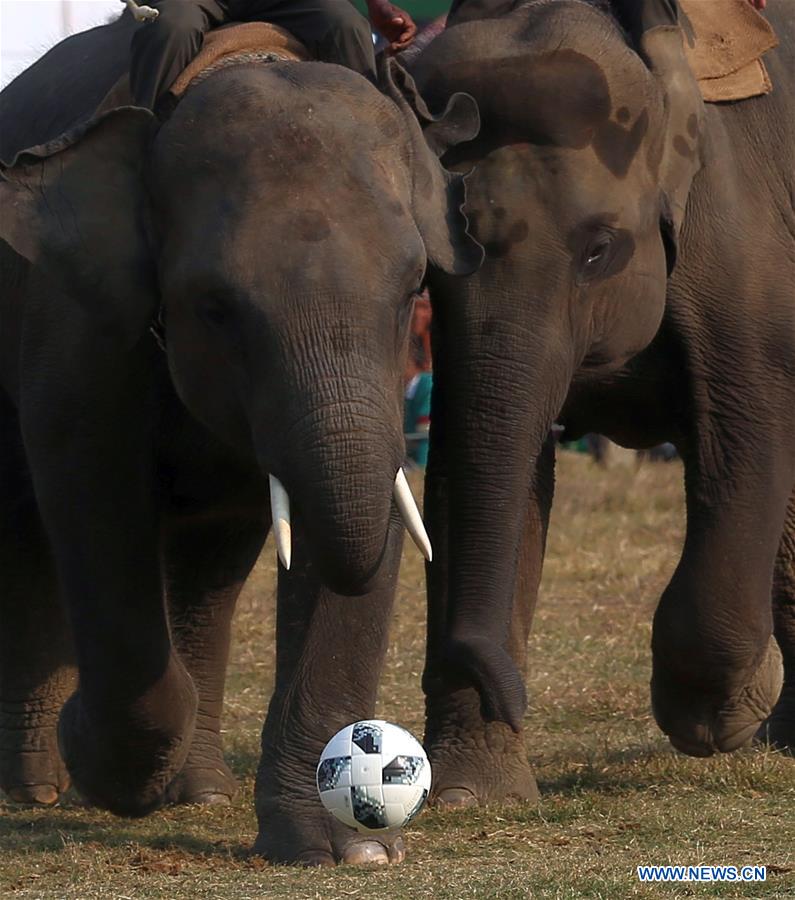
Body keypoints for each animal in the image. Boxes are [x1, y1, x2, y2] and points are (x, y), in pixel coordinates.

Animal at [0, 8, 486, 864]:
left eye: (411, 288)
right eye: (216, 306)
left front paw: (343, 849)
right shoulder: (77, 324)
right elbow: (93, 503)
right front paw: (101, 764)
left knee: (210, 565)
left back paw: (196, 789)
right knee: (28, 533)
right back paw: (40, 786)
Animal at [410, 0, 795, 804]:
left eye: (597, 250)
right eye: (431, 271)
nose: (513, 693)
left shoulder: (740, 232)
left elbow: (748, 424)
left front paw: (722, 715)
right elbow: (471, 468)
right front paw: (471, 793)